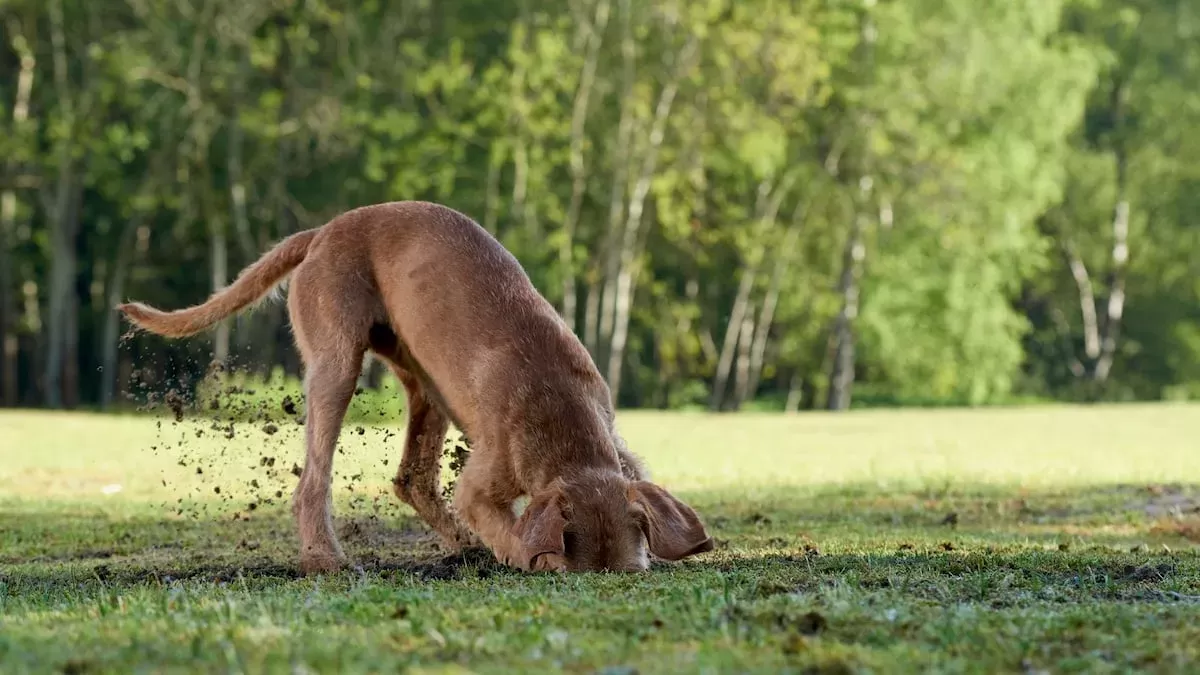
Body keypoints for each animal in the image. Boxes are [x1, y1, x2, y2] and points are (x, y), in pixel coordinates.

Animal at [119, 199, 710, 571]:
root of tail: (323, 231)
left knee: (412, 479)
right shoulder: (482, 484)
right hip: (336, 364)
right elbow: (514, 534)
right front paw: (525, 555)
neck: (563, 417)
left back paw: (461, 545)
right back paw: (324, 558)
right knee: (314, 480)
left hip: (426, 386)